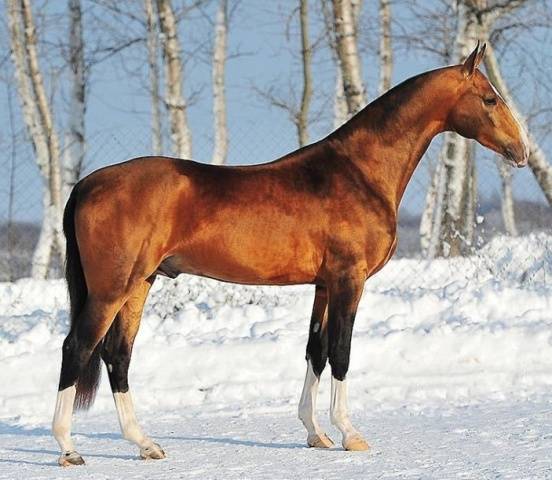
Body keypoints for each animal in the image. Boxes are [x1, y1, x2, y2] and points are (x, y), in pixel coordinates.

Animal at [52, 44, 532, 464]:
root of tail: (87, 183)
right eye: (489, 99)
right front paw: (350, 434)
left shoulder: (324, 284)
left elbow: (315, 351)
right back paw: (69, 448)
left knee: (117, 355)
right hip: (111, 289)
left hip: (139, 283)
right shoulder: (348, 279)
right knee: (77, 348)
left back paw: (145, 444)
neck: (358, 171)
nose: (522, 151)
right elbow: (341, 351)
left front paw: (315, 433)